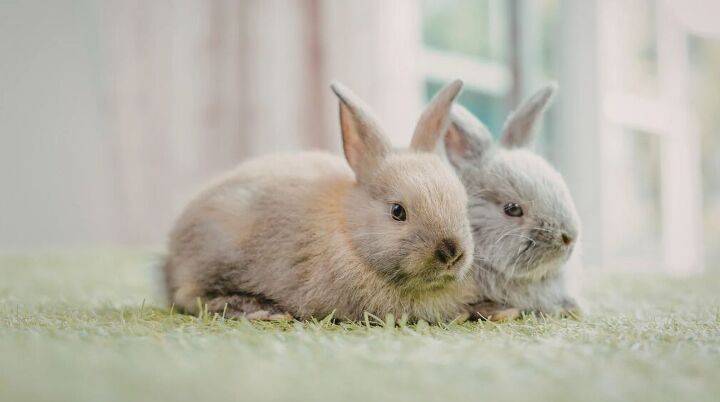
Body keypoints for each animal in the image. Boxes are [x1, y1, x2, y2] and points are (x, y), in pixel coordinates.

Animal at [162, 80, 476, 322]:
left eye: (463, 205)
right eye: (398, 211)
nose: (451, 252)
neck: (350, 235)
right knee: (190, 296)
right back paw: (260, 309)